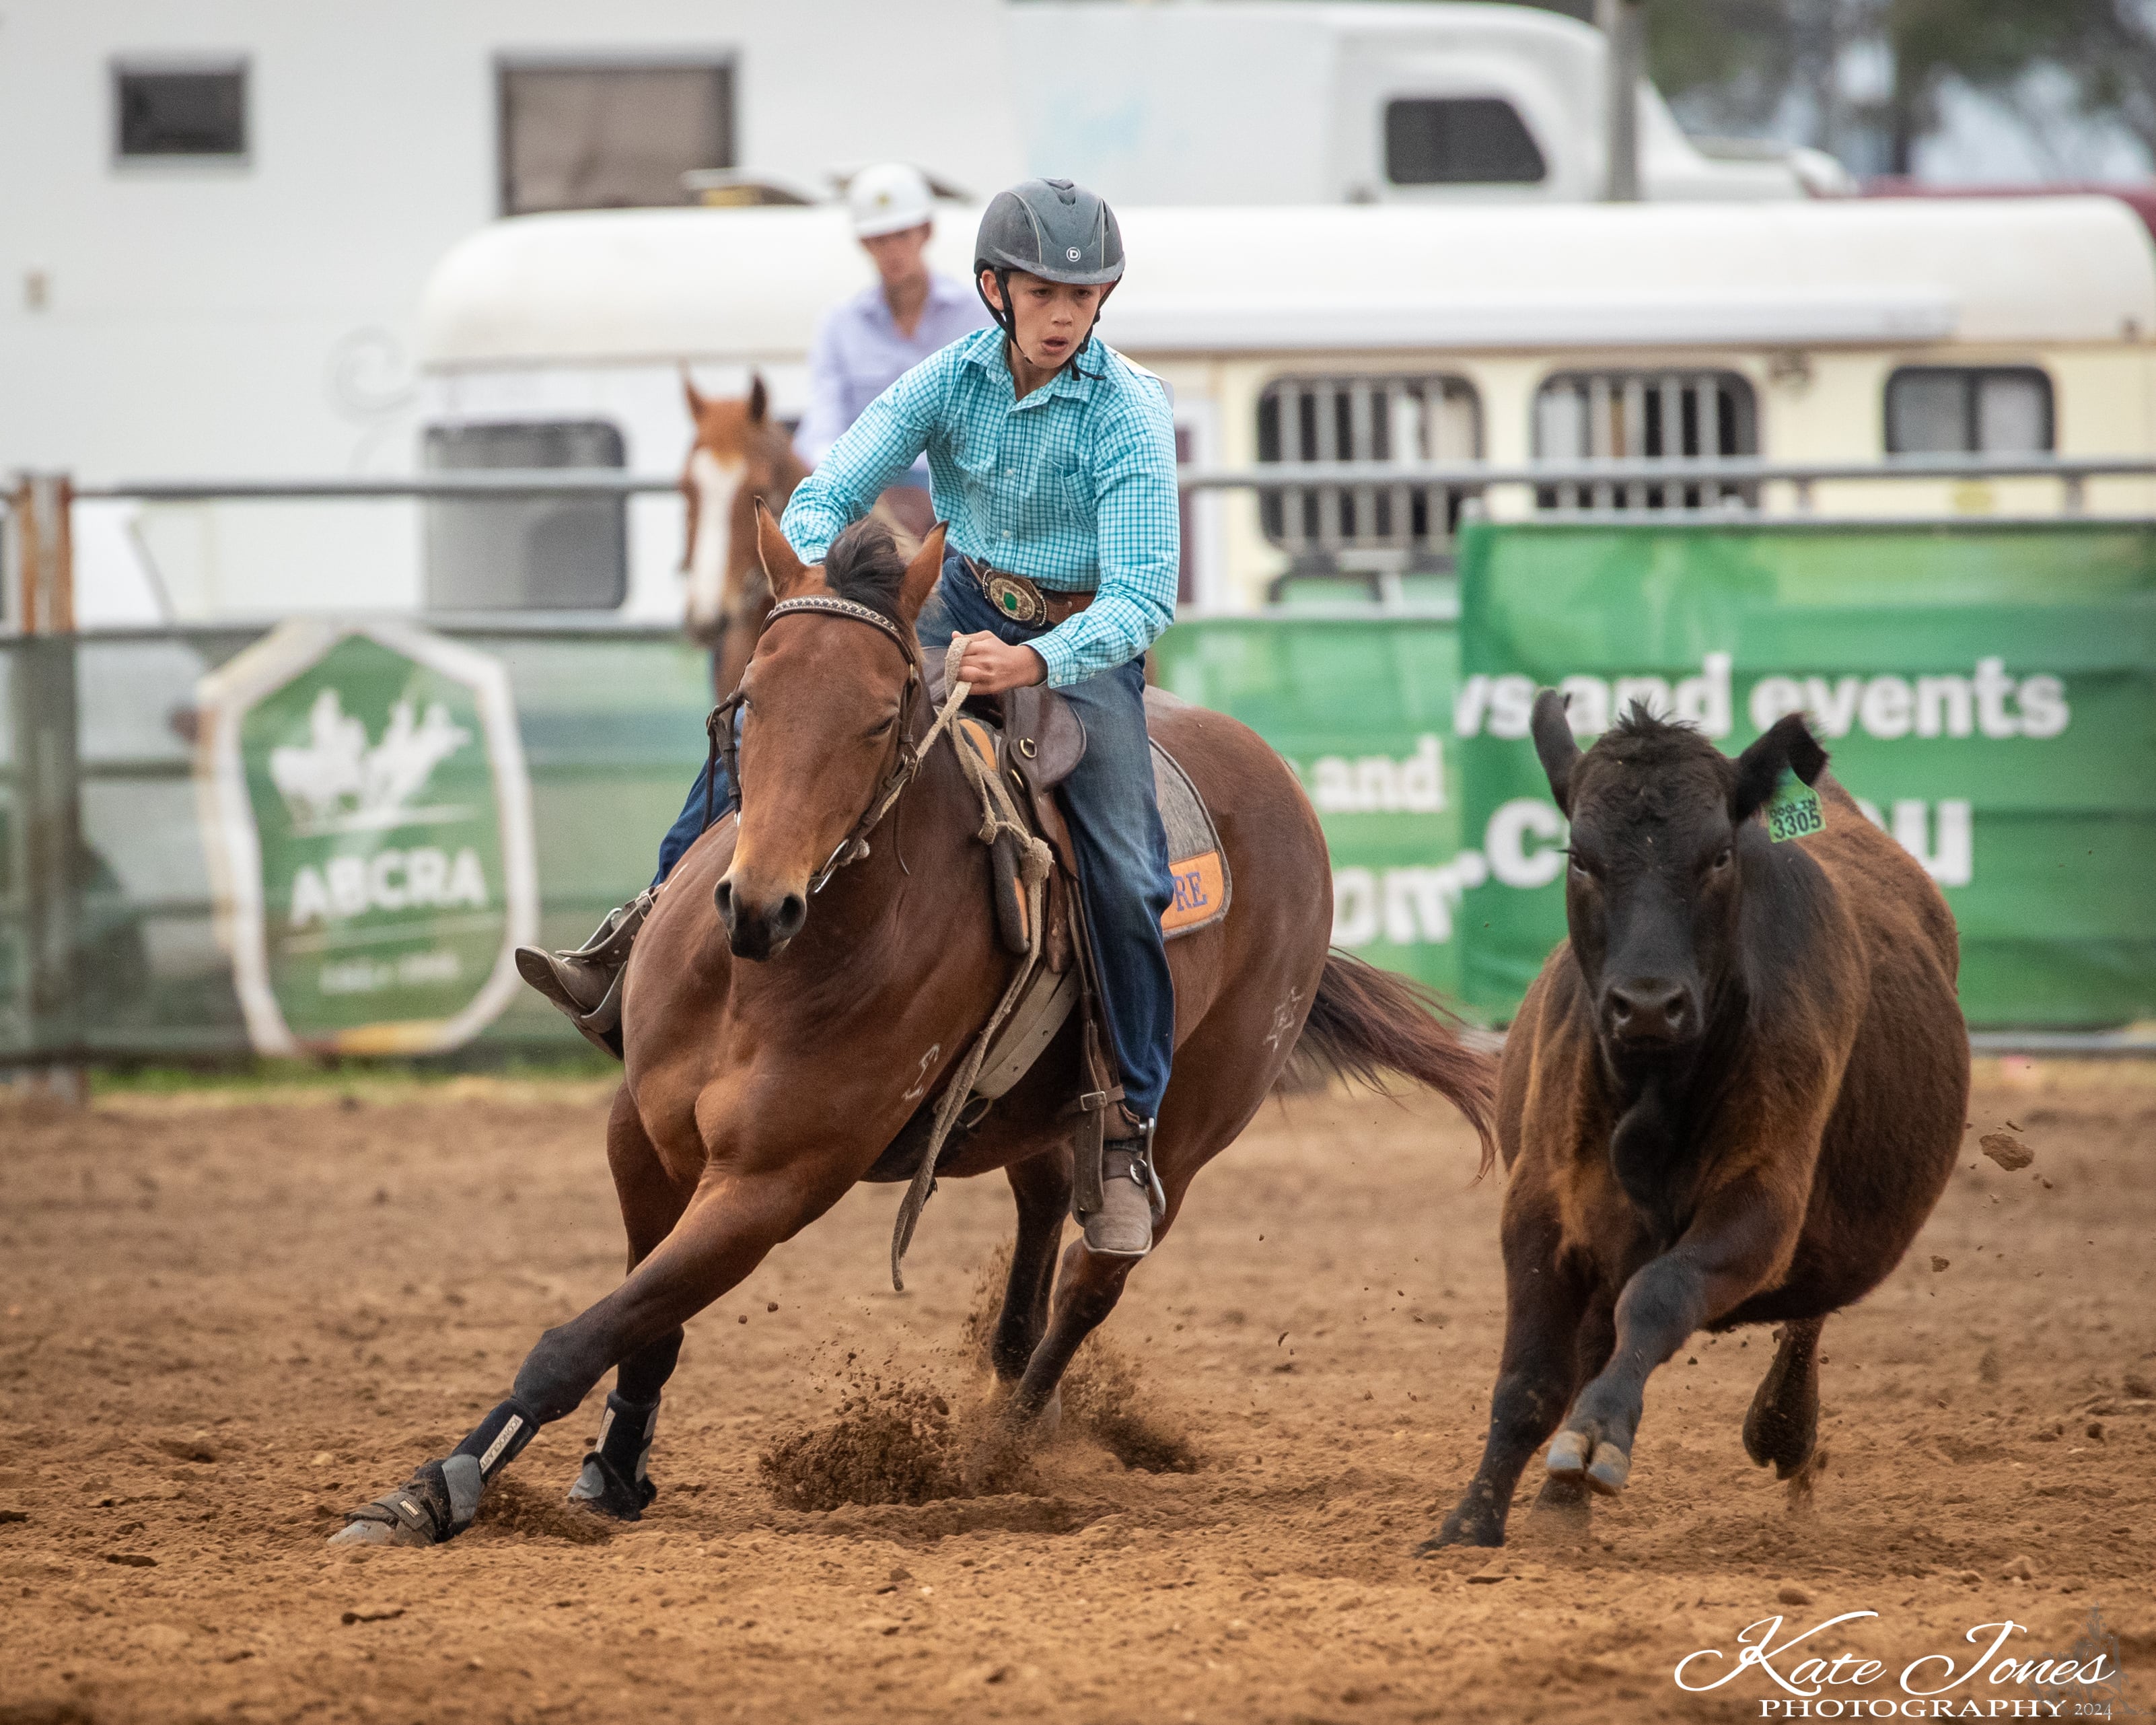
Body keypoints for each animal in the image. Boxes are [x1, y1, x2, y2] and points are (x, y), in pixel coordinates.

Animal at [332, 512, 1497, 1547]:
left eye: (878, 715)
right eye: (751, 699)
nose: (760, 905)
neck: (771, 975)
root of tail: (1284, 788)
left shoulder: (773, 1185)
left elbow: (580, 1335)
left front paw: (432, 1489)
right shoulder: (645, 1141)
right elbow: (642, 1324)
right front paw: (613, 1471)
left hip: (1193, 1123)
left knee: (1092, 1278)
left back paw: (1001, 1446)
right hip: (1038, 1110)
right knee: (1039, 1234)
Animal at [1426, 692, 1968, 1549]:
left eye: (1717, 855)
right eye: (1579, 856)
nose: (1648, 1003)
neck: (1653, 1092)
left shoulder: (1762, 1202)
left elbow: (1660, 1295)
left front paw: (1598, 1436)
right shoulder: (1539, 1205)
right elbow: (1530, 1380)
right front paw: (1470, 1522)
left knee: (1795, 1316)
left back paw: (1781, 1425)